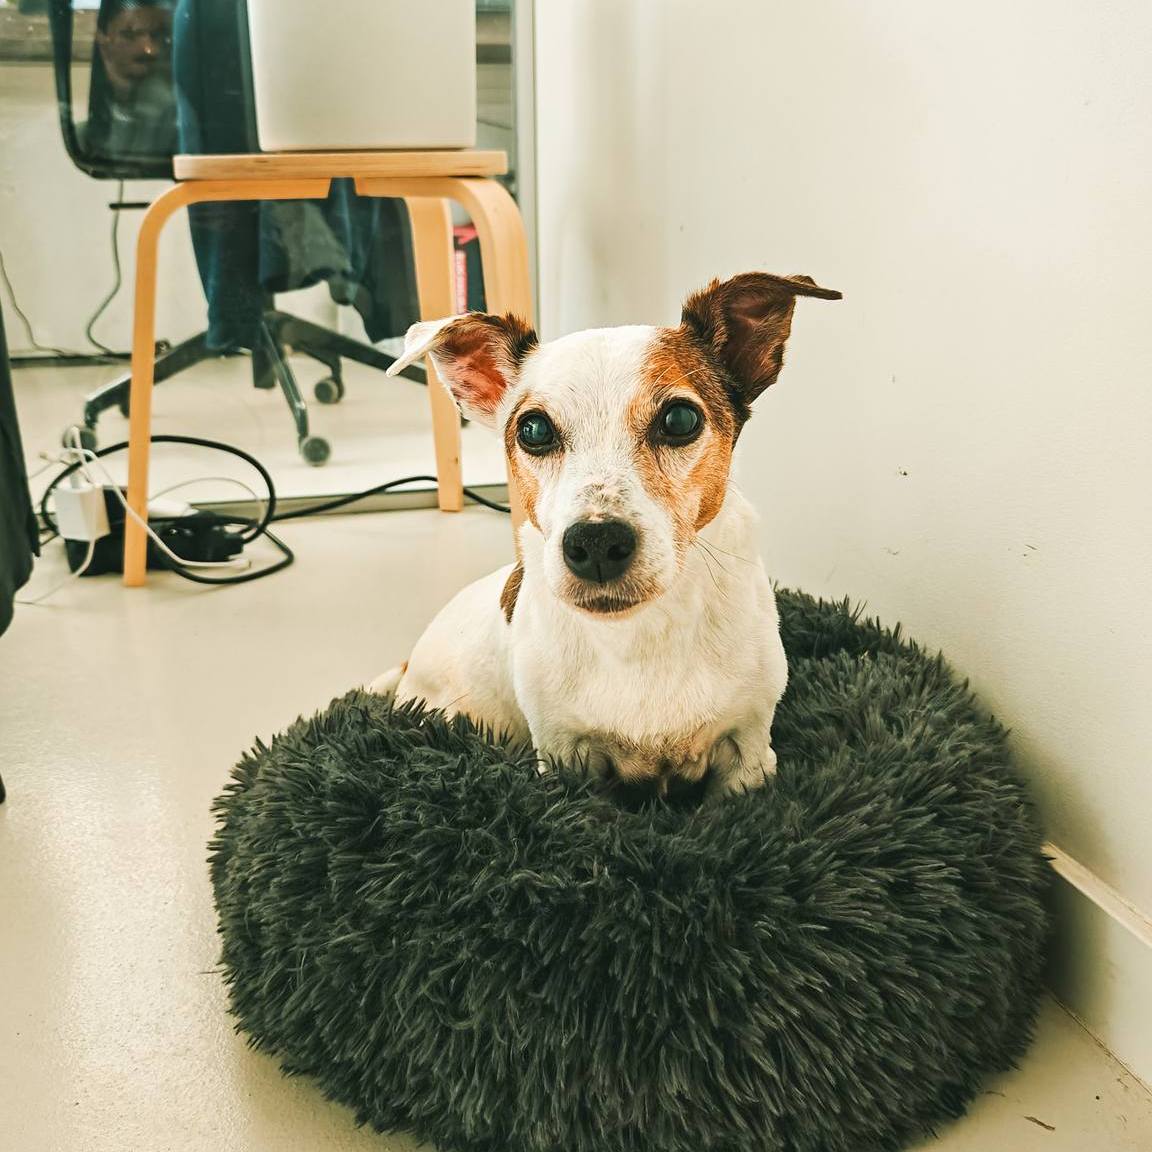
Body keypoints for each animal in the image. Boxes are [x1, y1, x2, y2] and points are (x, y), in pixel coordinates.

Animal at [371, 272, 840, 801]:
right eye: (533, 430)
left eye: (680, 419)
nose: (595, 543)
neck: (642, 632)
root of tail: (410, 666)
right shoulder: (564, 755)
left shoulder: (749, 753)